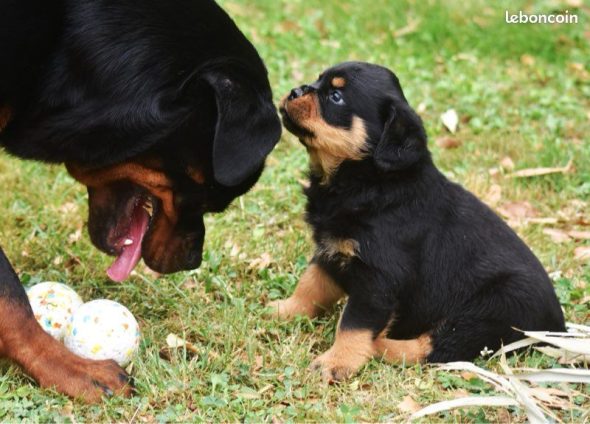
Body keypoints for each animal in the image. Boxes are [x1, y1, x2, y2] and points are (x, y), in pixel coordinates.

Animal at [272, 62, 568, 380]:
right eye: (317, 80)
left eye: (336, 96)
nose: (295, 91)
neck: (368, 181)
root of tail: (559, 330)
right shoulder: (332, 249)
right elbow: (310, 285)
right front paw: (283, 310)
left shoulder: (379, 278)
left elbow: (353, 324)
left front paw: (336, 362)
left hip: (493, 308)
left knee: (437, 348)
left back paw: (380, 346)